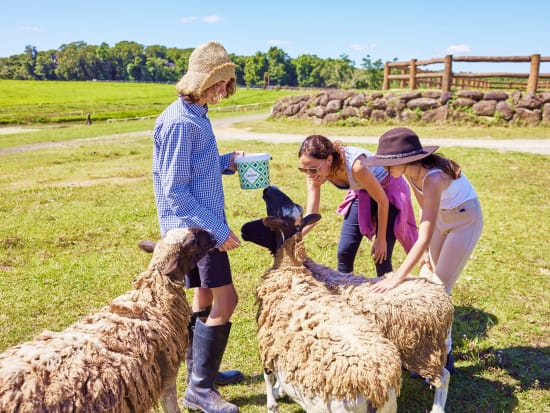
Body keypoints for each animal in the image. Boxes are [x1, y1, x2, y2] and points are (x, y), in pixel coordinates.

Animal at [244, 187, 454, 412]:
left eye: (271, 216)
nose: (243, 229)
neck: (293, 270)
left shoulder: (267, 341)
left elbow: (268, 378)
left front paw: (273, 400)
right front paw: (280, 391)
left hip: (421, 351)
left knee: (444, 377)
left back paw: (437, 408)